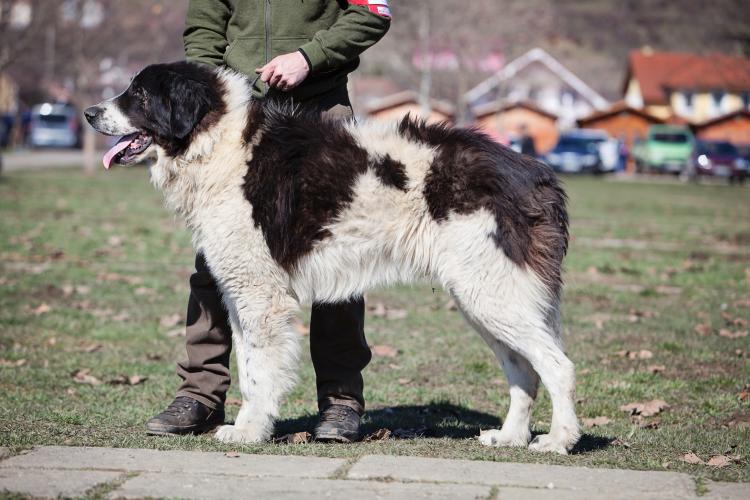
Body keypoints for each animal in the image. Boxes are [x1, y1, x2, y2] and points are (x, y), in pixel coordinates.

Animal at [86, 61, 580, 454]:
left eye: (139, 95)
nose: (90, 113)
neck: (218, 141)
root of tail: (536, 172)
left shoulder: (260, 297)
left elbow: (259, 372)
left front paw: (249, 431)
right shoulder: (241, 294)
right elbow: (246, 367)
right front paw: (251, 426)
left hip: (493, 295)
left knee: (557, 366)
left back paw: (558, 440)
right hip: (484, 299)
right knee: (524, 371)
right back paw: (510, 437)